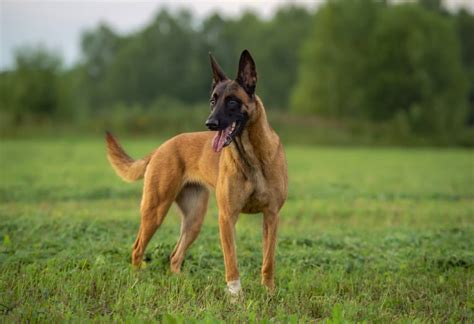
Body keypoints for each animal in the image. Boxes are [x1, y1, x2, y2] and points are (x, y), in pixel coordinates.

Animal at [105, 49, 286, 294]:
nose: (210, 123)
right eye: (212, 101)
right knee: (137, 248)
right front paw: (236, 296)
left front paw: (268, 291)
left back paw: (178, 281)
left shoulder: (271, 216)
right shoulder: (227, 217)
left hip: (194, 220)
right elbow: (232, 262)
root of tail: (161, 147)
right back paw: (137, 280)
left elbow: (268, 261)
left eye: (232, 101)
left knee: (174, 255)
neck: (252, 157)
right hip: (155, 210)